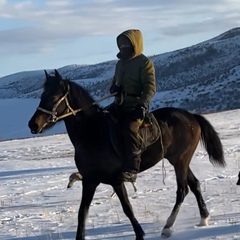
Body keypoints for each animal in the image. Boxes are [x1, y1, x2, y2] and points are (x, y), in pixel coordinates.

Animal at [28, 68, 227, 239]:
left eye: (53, 96)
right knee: (195, 185)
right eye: (42, 95)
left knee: (182, 190)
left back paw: (168, 227)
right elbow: (82, 212)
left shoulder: (117, 180)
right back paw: (204, 218)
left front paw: (140, 234)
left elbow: (127, 208)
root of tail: (192, 116)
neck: (93, 133)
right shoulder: (90, 181)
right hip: (178, 160)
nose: (33, 124)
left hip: (180, 161)